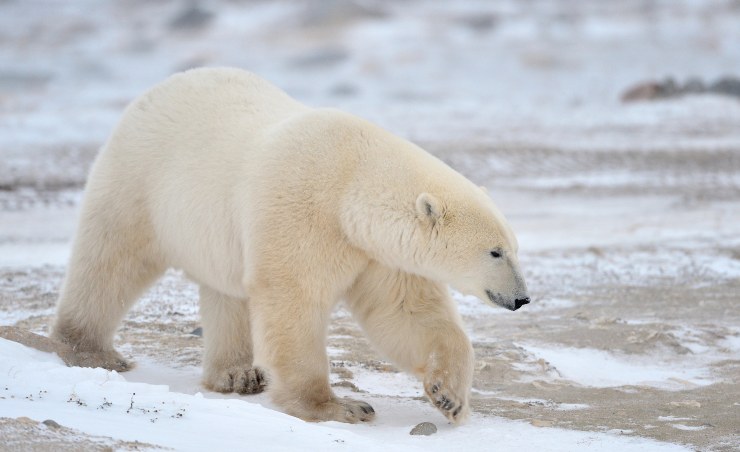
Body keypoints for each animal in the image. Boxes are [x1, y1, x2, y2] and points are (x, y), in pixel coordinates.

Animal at [51, 67, 529, 424]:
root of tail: (158, 88)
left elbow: (406, 313)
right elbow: (292, 301)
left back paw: (236, 375)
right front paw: (339, 406)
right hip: (139, 178)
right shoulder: (302, 209)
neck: (351, 184)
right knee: (110, 259)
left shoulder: (376, 253)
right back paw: (89, 348)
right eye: (495, 251)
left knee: (226, 291)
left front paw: (450, 397)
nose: (523, 298)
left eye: (513, 247)